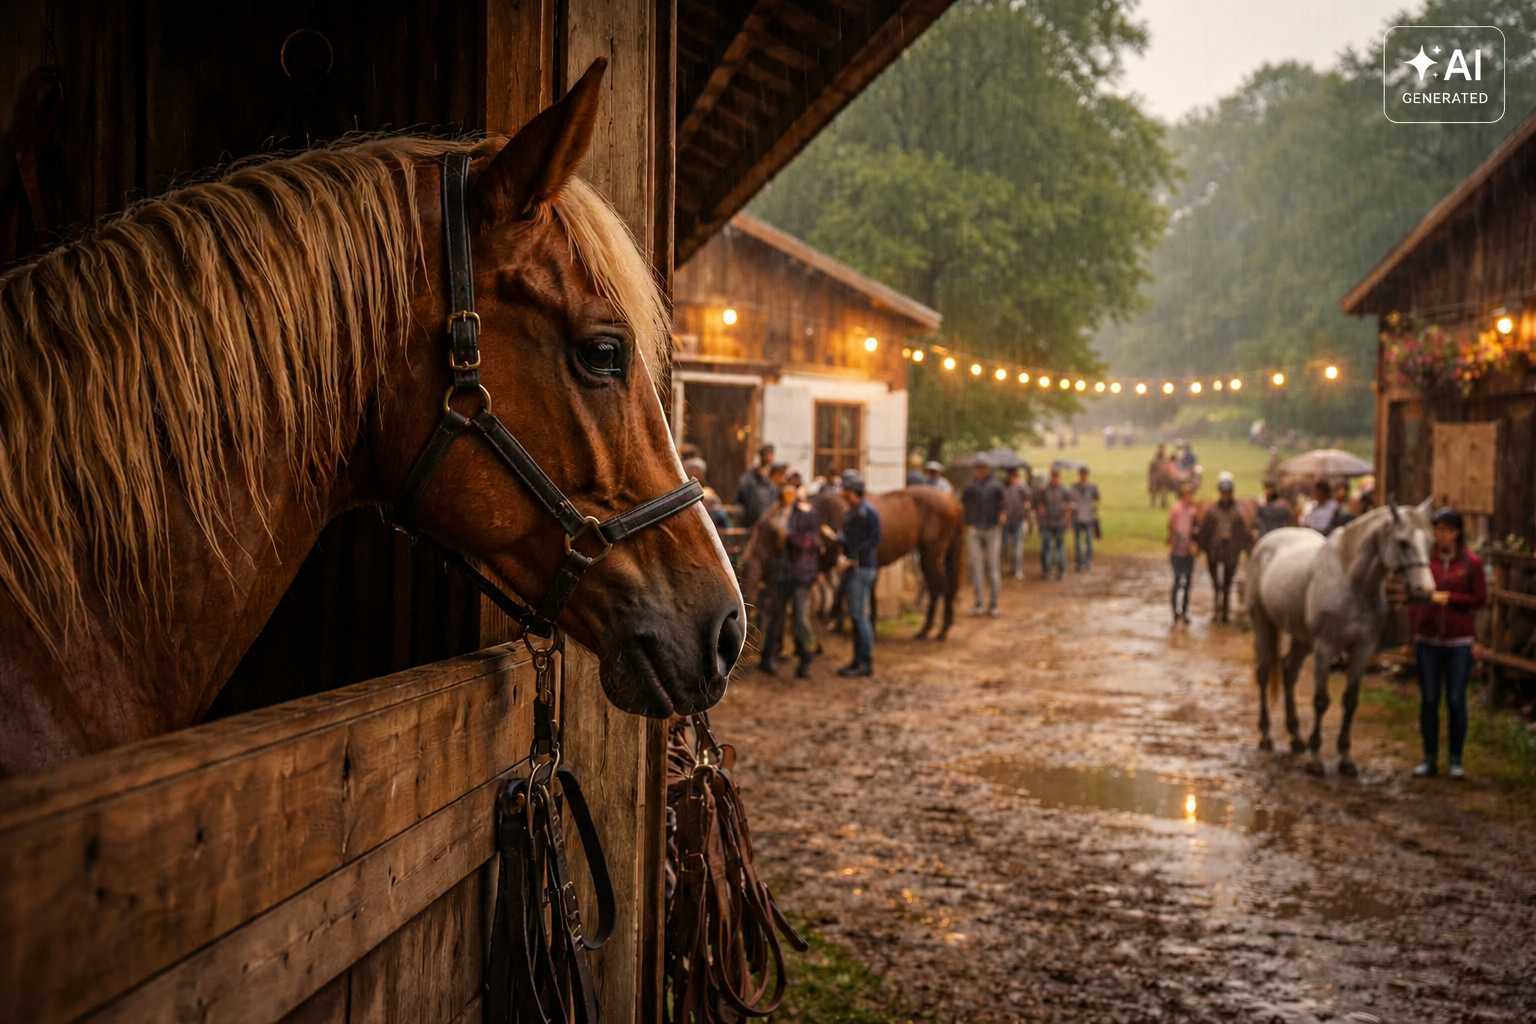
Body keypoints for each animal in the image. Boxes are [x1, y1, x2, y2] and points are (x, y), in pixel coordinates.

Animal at [1246, 501, 1436, 775]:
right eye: (1402, 542)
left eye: (1430, 542)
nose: (1426, 591)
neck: (1352, 581)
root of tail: (1266, 540)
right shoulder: (1325, 647)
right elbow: (1321, 701)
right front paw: (1315, 759)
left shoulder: (1363, 649)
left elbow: (1350, 700)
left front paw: (1346, 759)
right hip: (1264, 624)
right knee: (1262, 674)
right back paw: (1266, 736)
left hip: (1302, 639)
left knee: (1289, 671)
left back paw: (1296, 738)